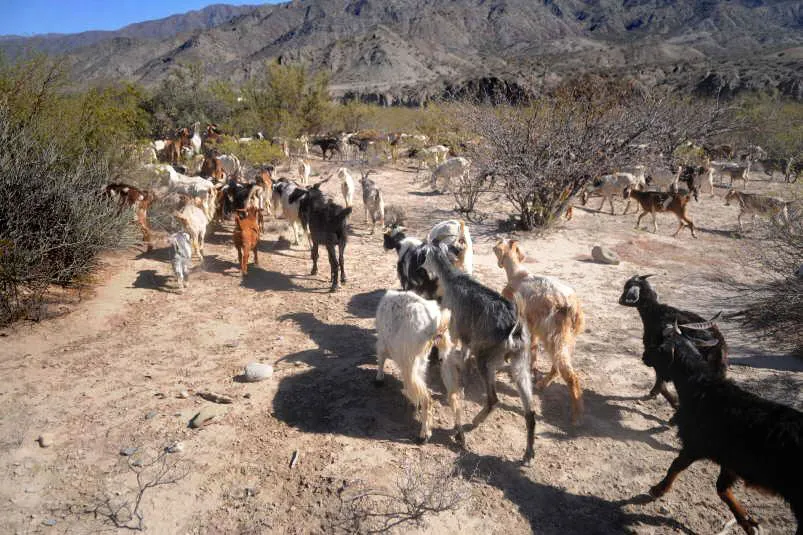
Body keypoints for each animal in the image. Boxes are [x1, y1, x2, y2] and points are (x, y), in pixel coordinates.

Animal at [374, 290, 453, 442]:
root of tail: (434, 326)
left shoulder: (383, 342)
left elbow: (381, 359)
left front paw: (379, 379)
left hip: (412, 363)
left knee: (427, 399)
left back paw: (424, 435)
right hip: (434, 359)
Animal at [423, 244, 536, 465]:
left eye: (423, 256)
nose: (423, 270)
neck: (453, 278)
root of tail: (514, 327)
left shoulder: (454, 330)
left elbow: (456, 352)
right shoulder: (468, 336)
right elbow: (465, 355)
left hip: (485, 360)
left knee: (493, 399)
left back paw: (473, 422)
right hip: (520, 363)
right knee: (530, 412)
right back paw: (528, 454)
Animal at [493, 239, 585, 425]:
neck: (518, 274)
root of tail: (572, 306)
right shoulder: (531, 327)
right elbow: (533, 350)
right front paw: (532, 371)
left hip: (554, 337)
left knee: (571, 376)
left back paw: (576, 416)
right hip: (565, 339)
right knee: (557, 367)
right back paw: (542, 384)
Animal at [618, 274, 727, 407]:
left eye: (627, 286)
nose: (620, 300)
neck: (655, 311)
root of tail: (717, 348)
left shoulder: (658, 358)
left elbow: (660, 382)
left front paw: (660, 396)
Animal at [646, 322, 802, 535]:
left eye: (659, 346)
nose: (644, 356)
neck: (702, 388)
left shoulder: (695, 445)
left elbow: (676, 465)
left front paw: (658, 489)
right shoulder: (731, 460)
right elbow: (722, 488)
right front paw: (748, 522)